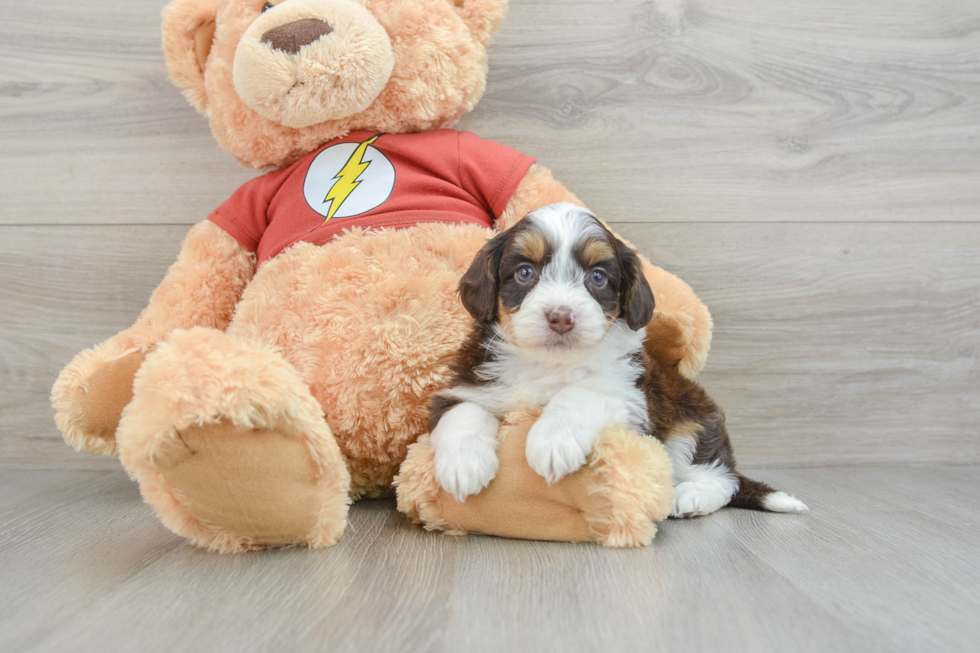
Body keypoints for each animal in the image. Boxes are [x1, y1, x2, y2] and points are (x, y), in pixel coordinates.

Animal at [432, 201, 808, 516]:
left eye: (598, 277)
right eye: (525, 272)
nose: (561, 317)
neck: (549, 364)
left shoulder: (633, 400)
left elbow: (581, 393)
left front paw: (554, 440)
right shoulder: (464, 384)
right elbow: (464, 410)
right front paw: (462, 464)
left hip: (693, 419)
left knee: (719, 475)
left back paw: (691, 497)